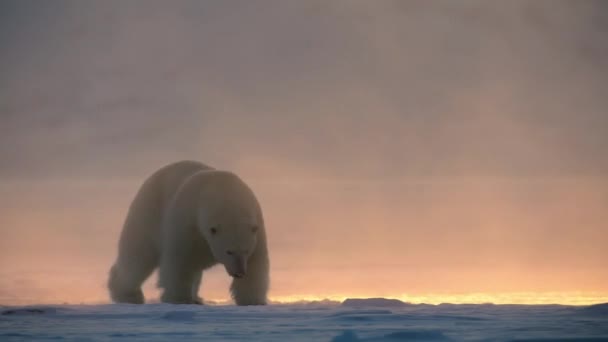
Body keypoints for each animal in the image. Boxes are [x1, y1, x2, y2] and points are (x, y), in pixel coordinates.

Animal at [108, 160, 268, 304]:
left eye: (246, 251)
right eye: (229, 251)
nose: (239, 273)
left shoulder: (257, 227)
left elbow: (257, 264)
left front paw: (252, 301)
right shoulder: (188, 221)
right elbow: (180, 261)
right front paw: (179, 298)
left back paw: (197, 298)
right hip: (148, 213)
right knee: (137, 257)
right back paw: (128, 295)